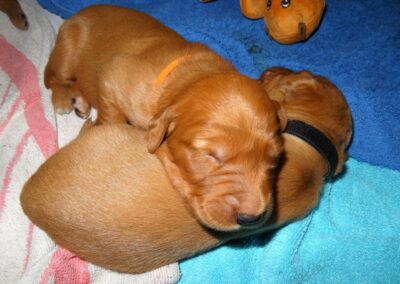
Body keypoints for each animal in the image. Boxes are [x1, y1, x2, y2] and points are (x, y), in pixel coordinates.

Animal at [44, 3, 284, 231]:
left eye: (275, 157)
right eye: (209, 155)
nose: (251, 218)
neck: (190, 76)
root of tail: (79, 14)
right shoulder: (113, 77)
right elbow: (111, 117)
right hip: (68, 50)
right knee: (54, 78)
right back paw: (64, 98)